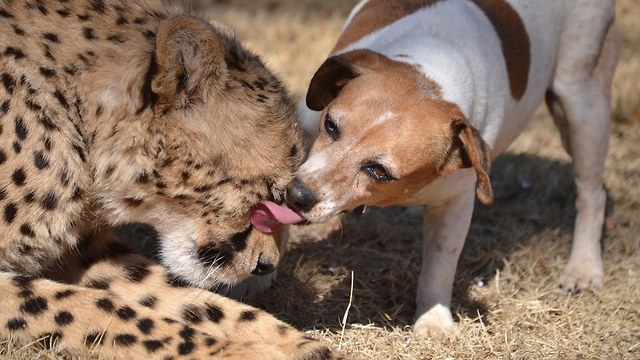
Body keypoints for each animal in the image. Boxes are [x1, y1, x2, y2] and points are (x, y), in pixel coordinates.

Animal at [0, 0, 342, 358]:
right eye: (271, 193)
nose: (267, 265)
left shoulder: (83, 250)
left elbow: (195, 300)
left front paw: (302, 347)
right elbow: (98, 309)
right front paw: (242, 351)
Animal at [284, 0, 616, 340]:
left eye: (379, 171)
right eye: (331, 125)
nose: (298, 194)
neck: (430, 73)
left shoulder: (457, 204)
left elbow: (439, 265)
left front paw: (433, 321)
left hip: (582, 103)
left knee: (592, 193)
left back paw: (584, 268)